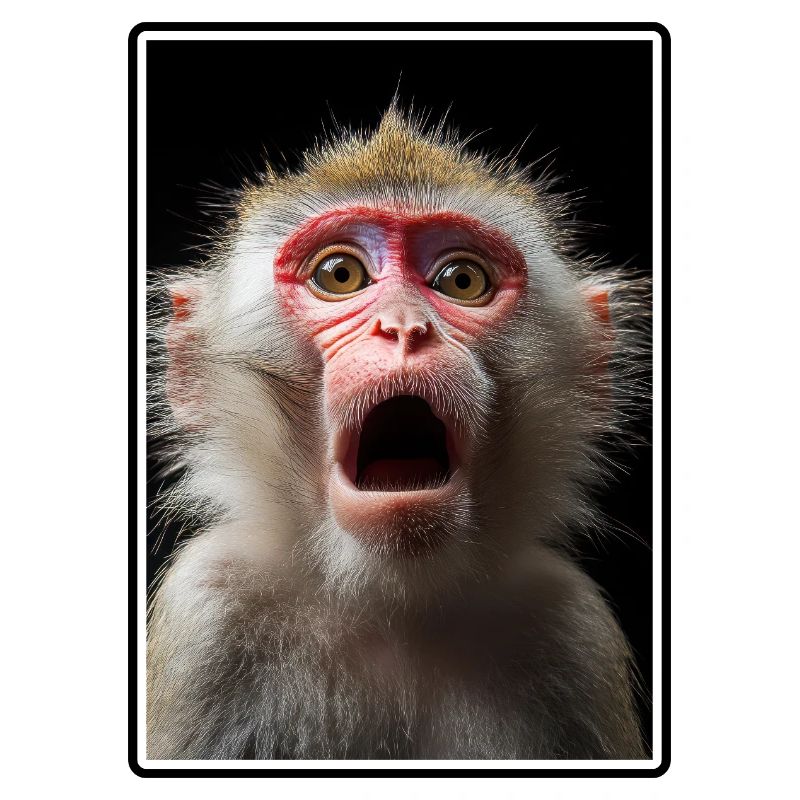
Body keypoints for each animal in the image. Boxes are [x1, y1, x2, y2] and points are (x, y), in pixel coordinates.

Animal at [146, 105, 651, 761]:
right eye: (340, 274)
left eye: (461, 280)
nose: (405, 327)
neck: (394, 603)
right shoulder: (208, 610)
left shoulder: (572, 630)